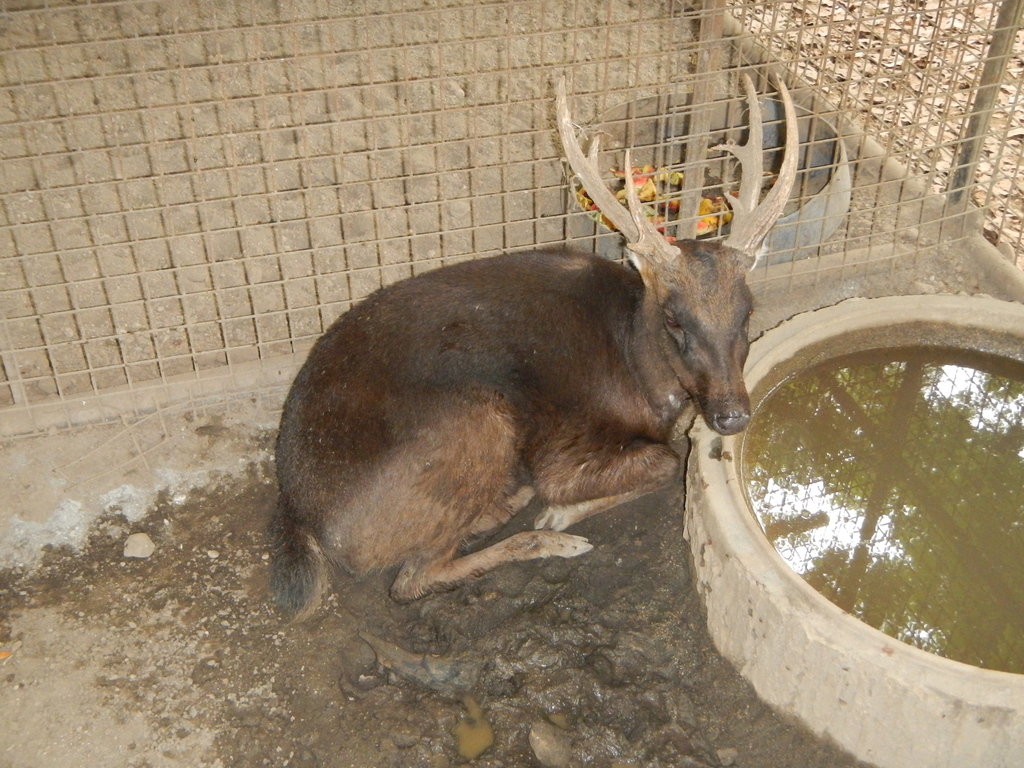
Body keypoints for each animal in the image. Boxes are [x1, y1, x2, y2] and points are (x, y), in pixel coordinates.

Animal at [268, 75, 794, 618]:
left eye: (748, 311)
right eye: (674, 318)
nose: (732, 416)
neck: (644, 376)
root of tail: (300, 516)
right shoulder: (565, 448)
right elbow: (661, 465)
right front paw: (559, 515)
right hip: (476, 422)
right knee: (412, 578)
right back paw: (543, 534)